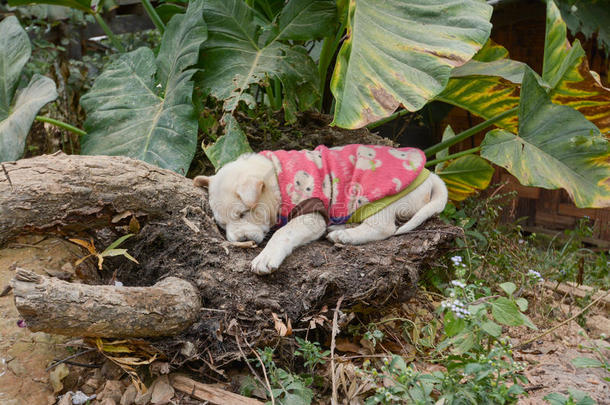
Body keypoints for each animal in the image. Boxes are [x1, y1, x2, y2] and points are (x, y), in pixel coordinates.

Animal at [195, 144, 446, 274]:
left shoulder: (310, 214)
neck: (276, 176)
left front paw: (266, 257)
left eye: (244, 213)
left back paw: (344, 235)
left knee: (382, 227)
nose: (239, 240)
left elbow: (282, 232)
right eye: (222, 225)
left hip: (380, 195)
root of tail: (430, 177)